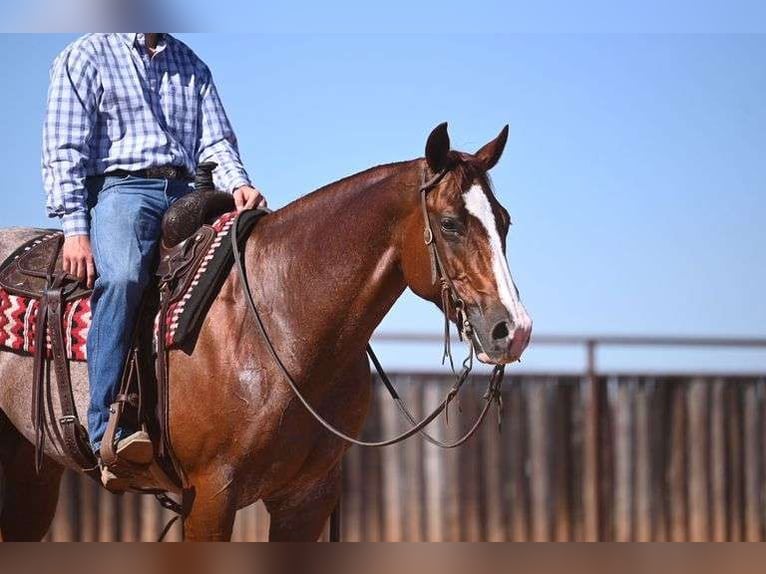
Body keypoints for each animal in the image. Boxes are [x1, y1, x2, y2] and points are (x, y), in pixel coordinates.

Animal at [0, 123, 532, 541]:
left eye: (505, 222)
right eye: (450, 223)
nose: (514, 330)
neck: (280, 325)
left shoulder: (306, 498)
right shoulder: (210, 496)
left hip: (33, 480)